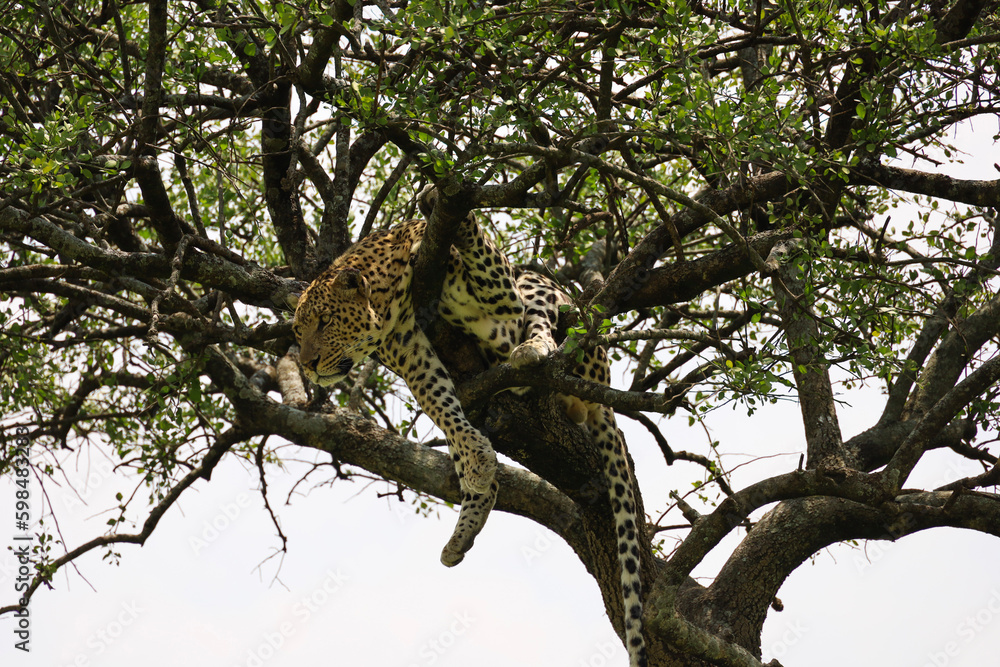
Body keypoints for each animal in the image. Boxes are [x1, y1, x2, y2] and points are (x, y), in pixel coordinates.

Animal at [290, 189, 647, 667]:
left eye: (325, 322)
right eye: (298, 330)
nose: (308, 364)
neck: (386, 298)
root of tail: (601, 392)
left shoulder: (502, 299)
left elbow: (468, 243)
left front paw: (434, 211)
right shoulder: (409, 347)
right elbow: (439, 402)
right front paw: (477, 459)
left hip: (546, 297)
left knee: (544, 327)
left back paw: (530, 353)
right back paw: (467, 519)